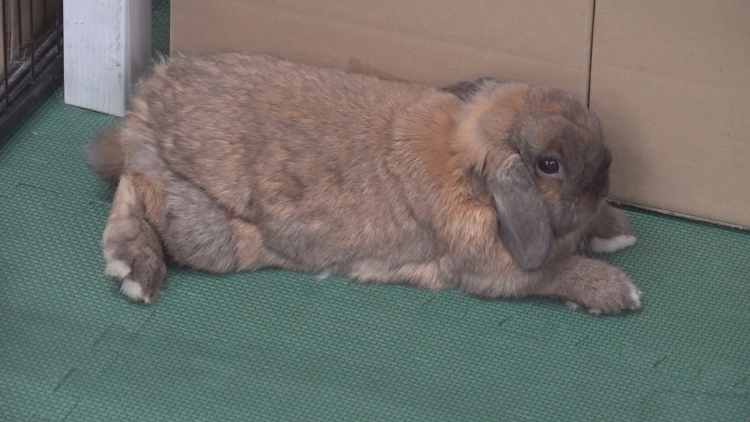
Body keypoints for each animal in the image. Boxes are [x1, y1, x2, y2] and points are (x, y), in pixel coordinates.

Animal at [86, 52, 641, 314]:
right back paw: (136, 270)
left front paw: (616, 231)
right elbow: (553, 270)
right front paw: (617, 291)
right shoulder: (491, 268)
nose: (606, 176)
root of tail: (146, 105)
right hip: (211, 232)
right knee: (135, 190)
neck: (473, 177)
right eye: (549, 165)